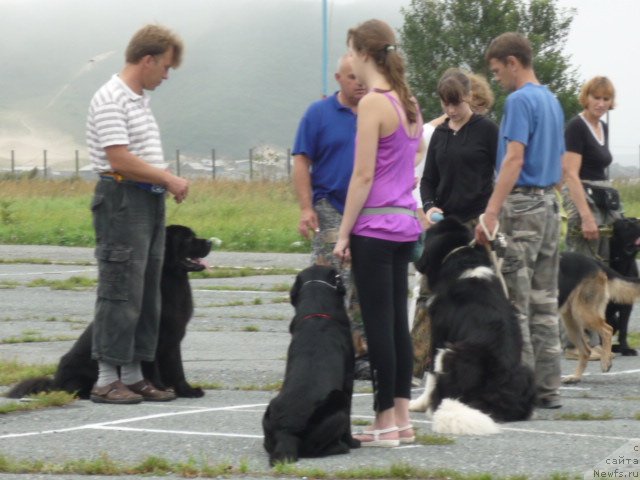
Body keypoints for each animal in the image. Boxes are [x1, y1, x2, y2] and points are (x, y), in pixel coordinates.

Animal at [6, 225, 211, 402]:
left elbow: (178, 370)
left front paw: (187, 390)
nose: (210, 242)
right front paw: (159, 389)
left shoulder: (173, 340)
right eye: (187, 239)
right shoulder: (152, 338)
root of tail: (55, 383)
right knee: (74, 389)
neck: (171, 280)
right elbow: (154, 369)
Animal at [260, 264, 360, 466]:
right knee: (315, 449)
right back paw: (340, 447)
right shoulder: (348, 381)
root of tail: (287, 431)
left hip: (267, 412)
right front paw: (353, 442)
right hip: (338, 403)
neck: (318, 315)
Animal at [408, 218, 536, 436]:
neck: (459, 256)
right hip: (525, 371)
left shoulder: (438, 334)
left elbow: (431, 374)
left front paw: (417, 404)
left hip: (451, 352)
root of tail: (496, 393)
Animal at [556, 249, 640, 384]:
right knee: (586, 351)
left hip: (583, 314)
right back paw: (575, 377)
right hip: (571, 322)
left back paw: (605, 362)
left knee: (607, 330)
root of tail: (595, 262)